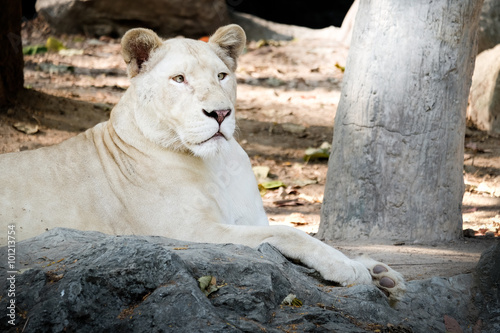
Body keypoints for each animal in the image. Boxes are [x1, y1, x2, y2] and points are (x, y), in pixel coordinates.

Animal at [0, 23, 404, 298]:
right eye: (179, 79)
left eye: (222, 75)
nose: (221, 113)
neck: (218, 164)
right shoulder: (188, 233)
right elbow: (291, 232)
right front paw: (350, 268)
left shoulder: (242, 220)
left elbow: (303, 233)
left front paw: (379, 271)